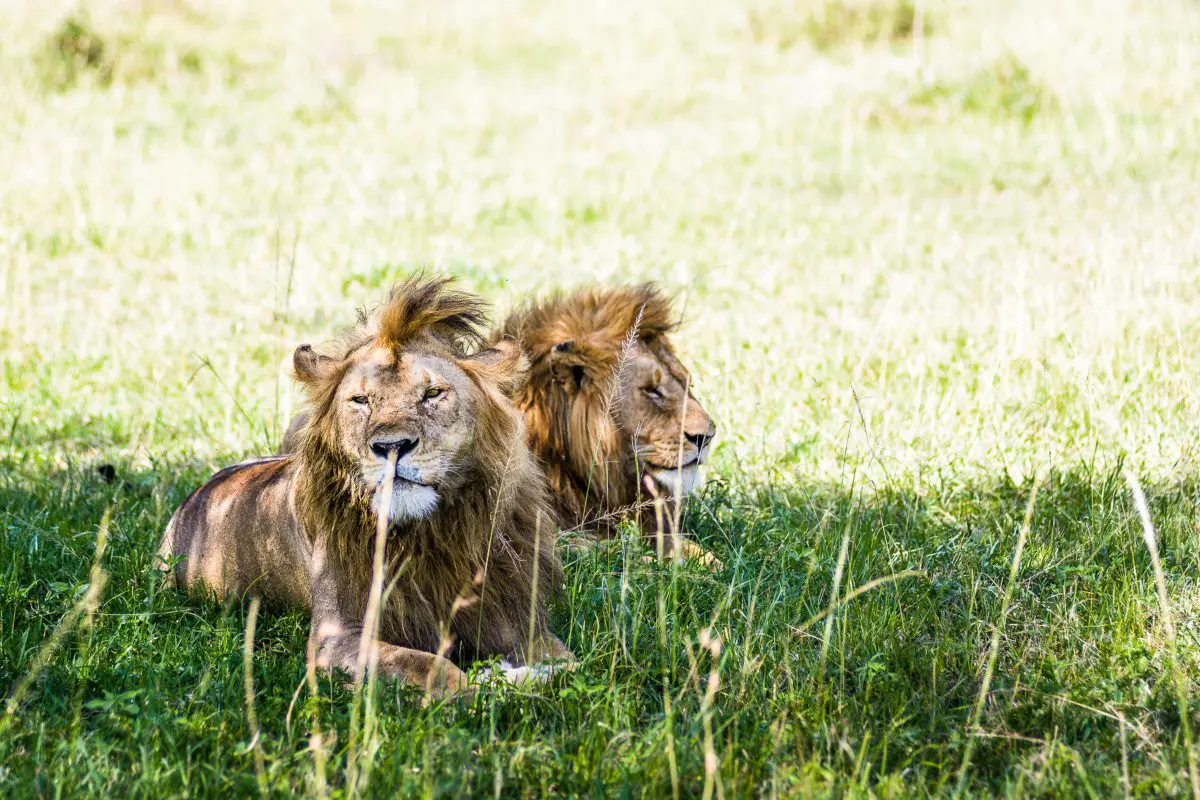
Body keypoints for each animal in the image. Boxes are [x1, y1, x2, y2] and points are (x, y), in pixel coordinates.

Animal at [158, 275, 571, 695]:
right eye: (361, 400)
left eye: (432, 393)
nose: (391, 446)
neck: (428, 535)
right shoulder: (335, 637)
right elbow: (430, 665)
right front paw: (477, 687)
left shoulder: (513, 619)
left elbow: (569, 662)